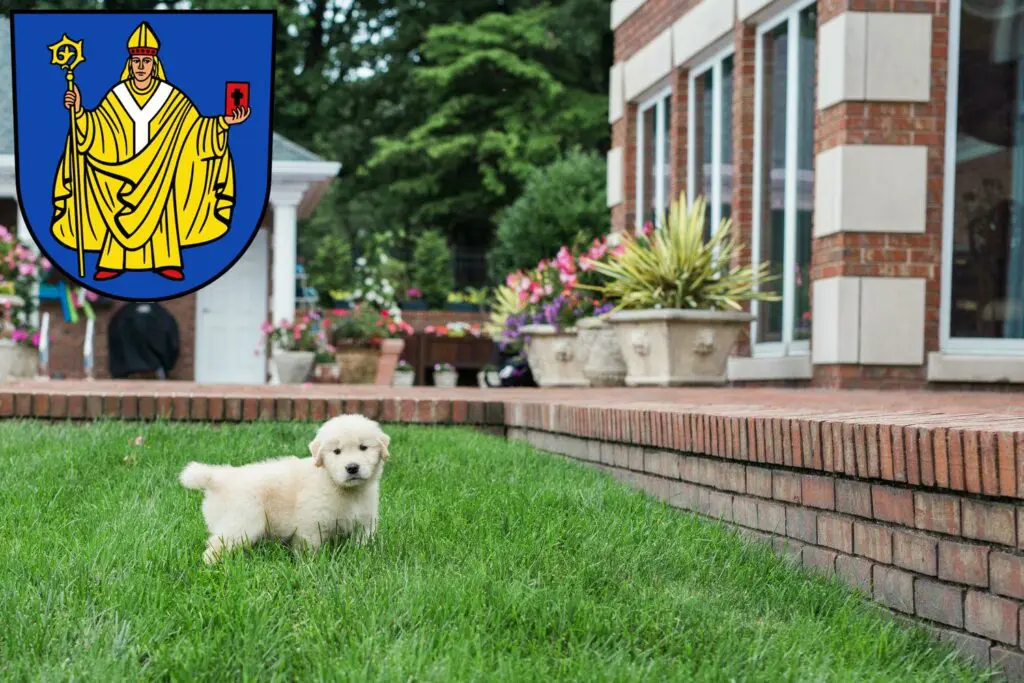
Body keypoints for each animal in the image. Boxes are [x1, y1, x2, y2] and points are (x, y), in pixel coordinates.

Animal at [178, 411, 389, 565]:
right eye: (336, 451)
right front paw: (311, 565)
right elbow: (310, 548)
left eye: (363, 447)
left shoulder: (366, 522)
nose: (352, 468)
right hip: (243, 522)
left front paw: (363, 557)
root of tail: (219, 477)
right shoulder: (312, 523)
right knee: (216, 544)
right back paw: (212, 566)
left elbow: (363, 543)